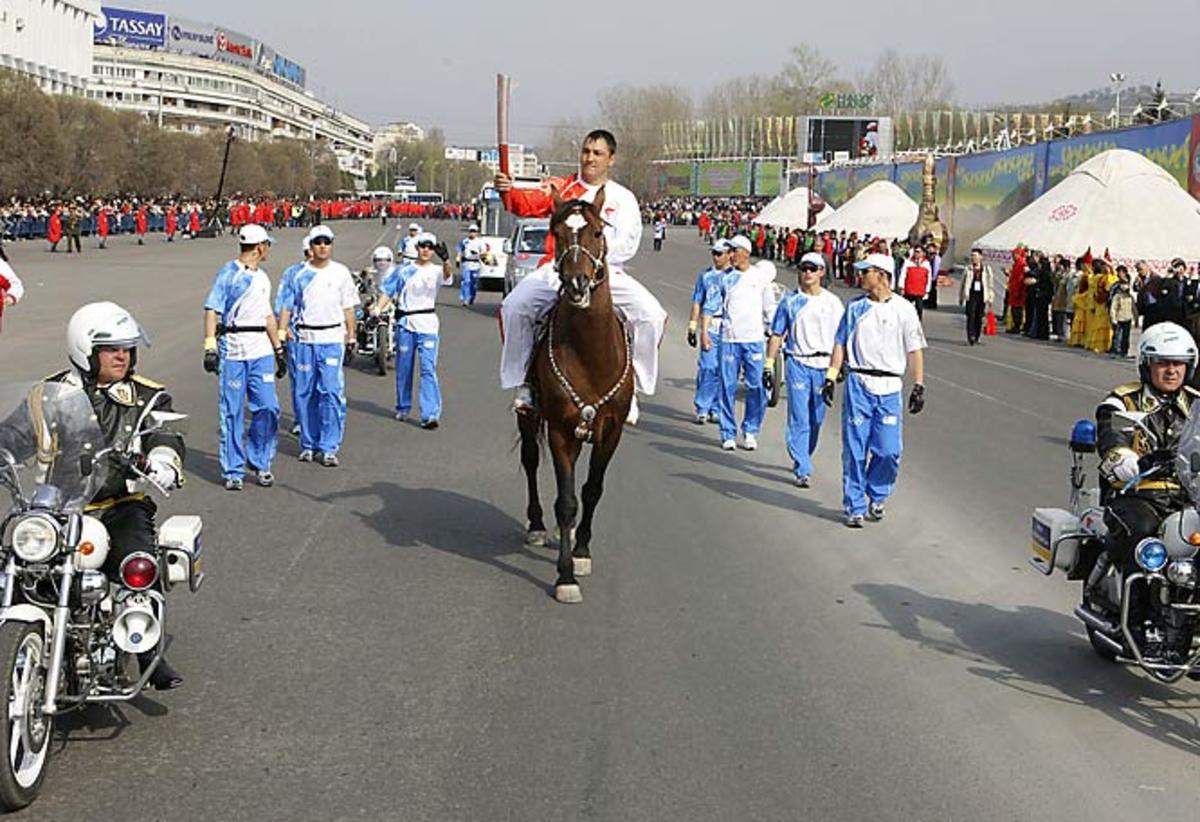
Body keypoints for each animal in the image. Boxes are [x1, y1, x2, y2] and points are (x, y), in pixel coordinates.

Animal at [513, 187, 633, 602]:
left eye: (598, 232)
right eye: (557, 232)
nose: (578, 284)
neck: (590, 354)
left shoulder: (611, 432)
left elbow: (592, 490)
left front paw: (580, 552)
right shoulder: (561, 430)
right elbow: (567, 501)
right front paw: (565, 576)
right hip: (531, 417)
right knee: (531, 460)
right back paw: (536, 523)